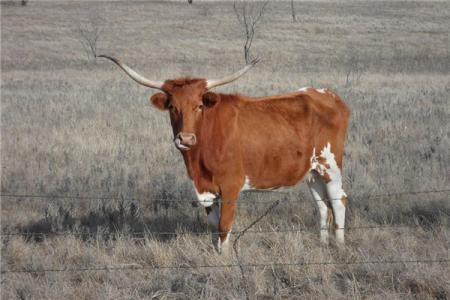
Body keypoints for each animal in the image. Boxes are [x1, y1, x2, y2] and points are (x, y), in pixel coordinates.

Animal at [100, 55, 350, 251]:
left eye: (199, 106)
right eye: (172, 107)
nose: (186, 139)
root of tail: (328, 95)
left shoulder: (231, 187)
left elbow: (224, 226)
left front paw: (226, 257)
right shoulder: (205, 189)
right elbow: (213, 226)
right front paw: (215, 254)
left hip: (330, 166)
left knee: (339, 201)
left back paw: (339, 245)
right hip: (312, 172)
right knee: (322, 206)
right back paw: (323, 244)